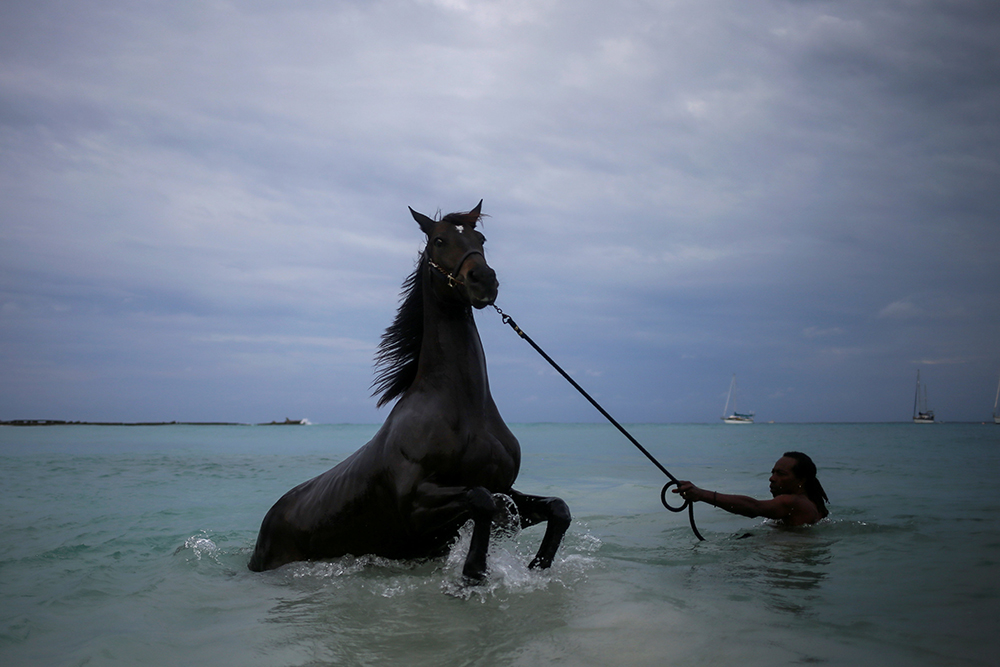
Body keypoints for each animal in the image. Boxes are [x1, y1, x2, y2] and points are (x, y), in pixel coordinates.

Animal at [248, 201, 571, 581]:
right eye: (439, 241)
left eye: (480, 239)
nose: (483, 280)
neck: (465, 409)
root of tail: (268, 522)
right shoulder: (416, 506)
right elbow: (482, 500)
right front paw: (473, 572)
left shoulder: (505, 487)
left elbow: (556, 508)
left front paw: (538, 565)